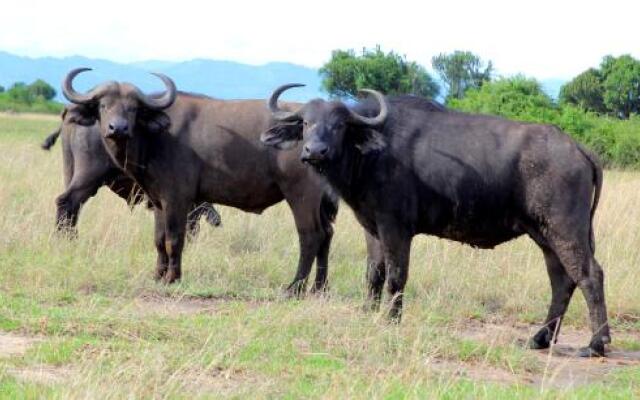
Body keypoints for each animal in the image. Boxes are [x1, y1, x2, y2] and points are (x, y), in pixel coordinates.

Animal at [61, 69, 336, 294]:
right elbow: (159, 239)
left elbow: (174, 238)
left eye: (133, 108)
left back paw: (294, 287)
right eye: (103, 105)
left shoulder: (178, 199)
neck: (156, 137)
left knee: (310, 235)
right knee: (327, 234)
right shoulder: (158, 201)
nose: (117, 128)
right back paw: (319, 287)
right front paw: (158, 275)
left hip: (301, 195)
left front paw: (172, 277)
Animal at [262, 84, 608, 356]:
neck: (373, 154)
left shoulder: (396, 228)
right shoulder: (372, 227)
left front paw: (391, 319)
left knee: (590, 275)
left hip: (565, 229)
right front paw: (367, 311)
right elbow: (374, 273)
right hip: (544, 235)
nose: (314, 151)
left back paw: (595, 343)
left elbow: (396, 276)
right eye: (306, 123)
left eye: (339, 125)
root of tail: (578, 148)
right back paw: (539, 339)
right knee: (561, 280)